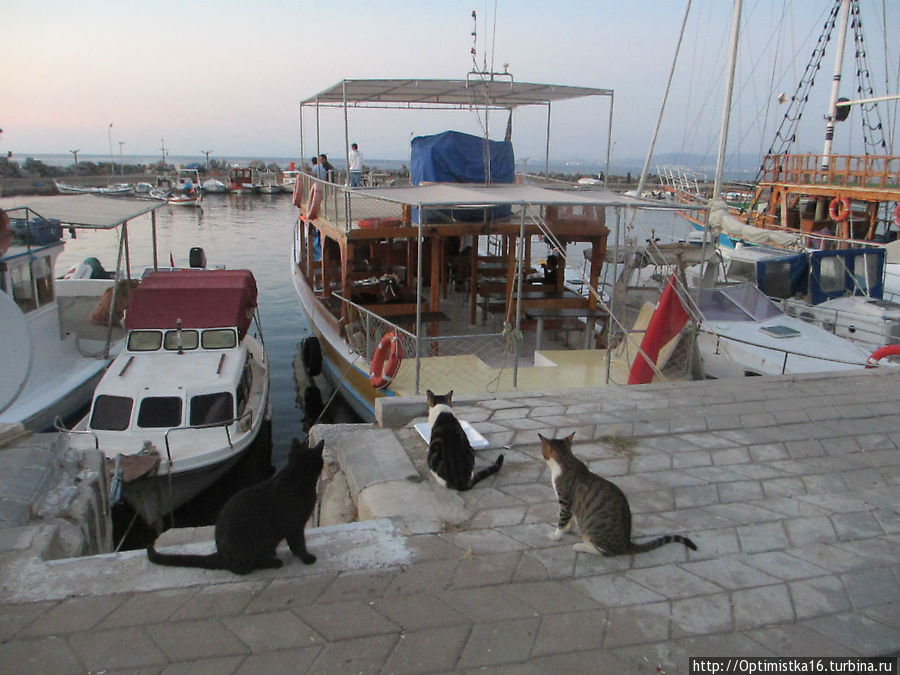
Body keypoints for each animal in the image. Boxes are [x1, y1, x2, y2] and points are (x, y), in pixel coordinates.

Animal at [148, 438, 326, 576]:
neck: (296, 477)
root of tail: (221, 555)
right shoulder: (295, 526)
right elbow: (299, 544)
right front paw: (307, 558)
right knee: (243, 568)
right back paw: (273, 562)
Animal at [536, 436, 700, 556]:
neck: (566, 459)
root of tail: (626, 544)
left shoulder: (565, 500)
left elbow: (562, 519)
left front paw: (556, 535)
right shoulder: (570, 505)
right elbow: (569, 519)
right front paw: (568, 529)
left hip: (595, 531)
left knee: (604, 551)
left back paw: (581, 546)